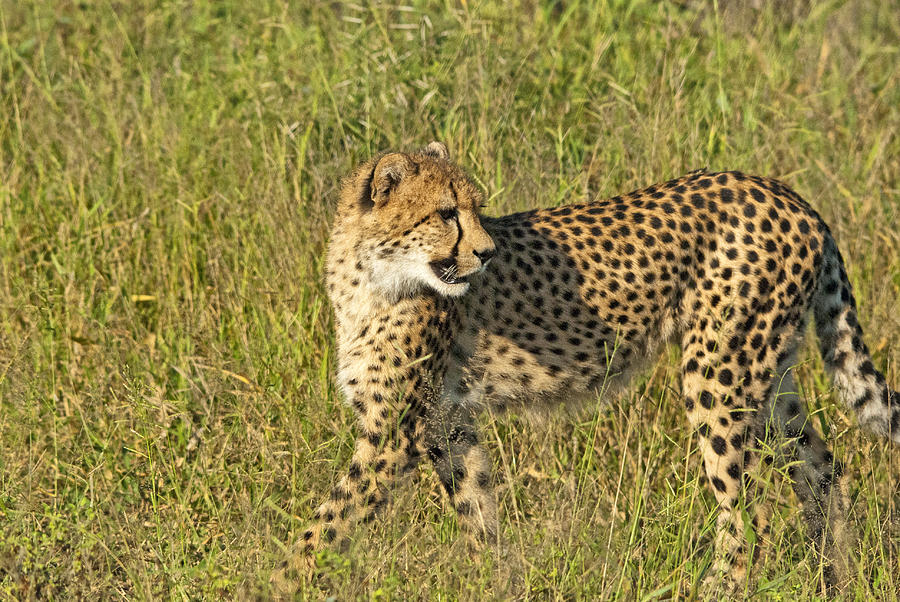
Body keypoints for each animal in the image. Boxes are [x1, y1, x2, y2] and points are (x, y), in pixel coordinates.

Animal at [276, 143, 900, 592]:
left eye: (476, 209)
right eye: (446, 213)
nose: (486, 252)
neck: (369, 274)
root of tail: (789, 195)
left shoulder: (396, 432)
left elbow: (327, 523)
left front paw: (278, 580)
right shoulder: (448, 424)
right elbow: (477, 511)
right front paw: (494, 582)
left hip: (718, 376)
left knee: (753, 507)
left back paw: (724, 587)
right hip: (767, 377)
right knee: (822, 467)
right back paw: (832, 574)